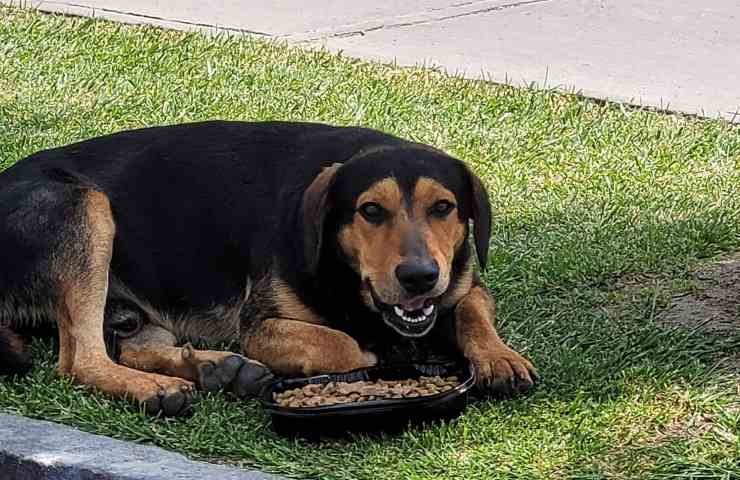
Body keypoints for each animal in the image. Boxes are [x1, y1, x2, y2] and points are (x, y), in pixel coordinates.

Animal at [0, 121, 536, 416]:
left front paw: (498, 356)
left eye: (444, 208)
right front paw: (379, 355)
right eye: (370, 211)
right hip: (85, 208)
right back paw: (157, 388)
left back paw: (215, 367)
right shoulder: (260, 326)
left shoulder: (464, 279)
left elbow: (470, 304)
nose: (420, 276)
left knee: (129, 342)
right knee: (80, 359)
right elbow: (350, 347)